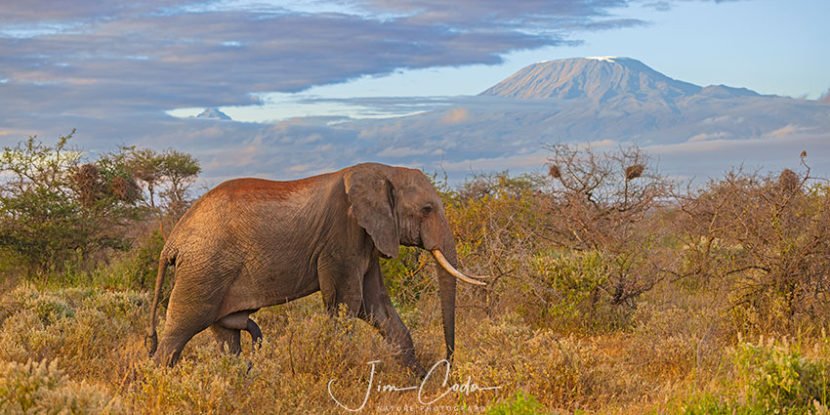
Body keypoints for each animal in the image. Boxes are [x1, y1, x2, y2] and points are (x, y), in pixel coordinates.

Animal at [146, 162, 485, 375]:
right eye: (427, 209)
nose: (447, 366)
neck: (383, 172)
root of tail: (172, 240)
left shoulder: (366, 239)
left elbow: (376, 306)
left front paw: (419, 381)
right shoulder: (343, 235)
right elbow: (349, 304)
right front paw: (339, 368)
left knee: (227, 337)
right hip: (203, 271)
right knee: (180, 330)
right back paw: (161, 383)